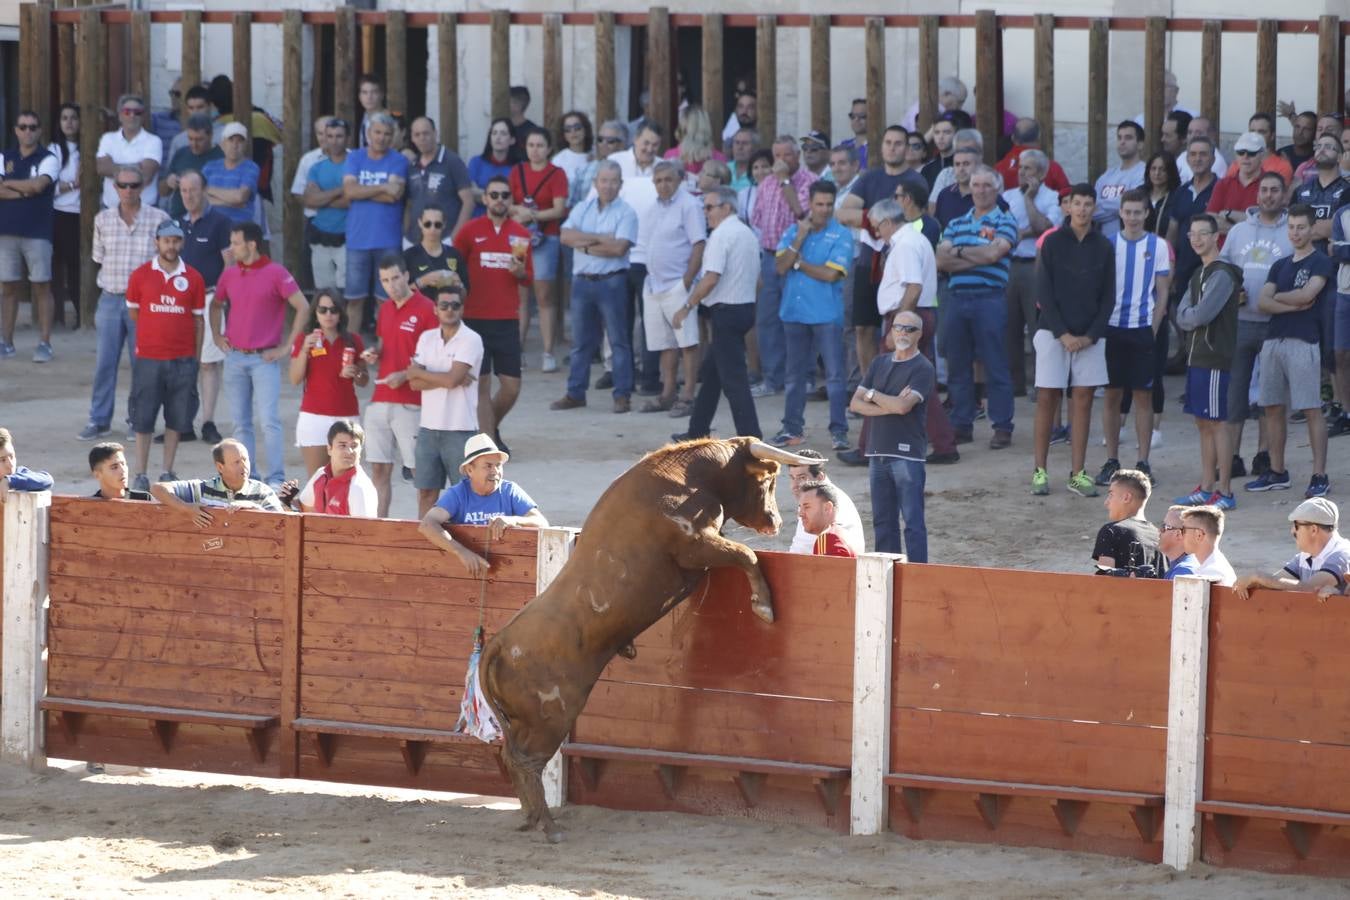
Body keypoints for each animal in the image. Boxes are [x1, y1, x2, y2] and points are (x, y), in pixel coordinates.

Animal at [477, 437, 810, 847]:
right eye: (766, 481)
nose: (774, 522)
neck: (693, 476)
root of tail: (499, 643)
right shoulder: (696, 545)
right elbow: (746, 554)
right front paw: (764, 606)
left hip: (524, 722)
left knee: (512, 758)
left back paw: (531, 818)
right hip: (550, 718)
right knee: (527, 761)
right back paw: (550, 827)